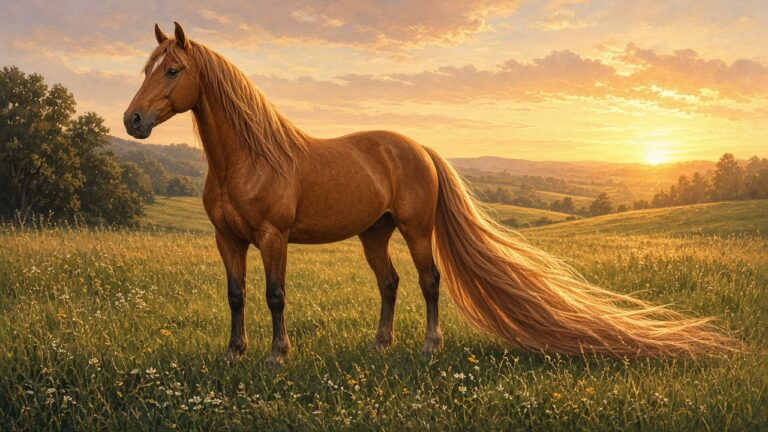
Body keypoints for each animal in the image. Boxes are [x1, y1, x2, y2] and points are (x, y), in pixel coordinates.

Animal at [124, 22, 737, 366]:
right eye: (148, 68)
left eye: (173, 70)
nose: (133, 120)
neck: (249, 157)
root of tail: (417, 147)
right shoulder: (227, 240)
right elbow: (236, 295)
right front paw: (235, 353)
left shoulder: (273, 238)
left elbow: (275, 296)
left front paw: (278, 355)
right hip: (375, 234)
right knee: (391, 283)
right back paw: (381, 345)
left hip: (417, 230)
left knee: (428, 281)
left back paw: (429, 347)